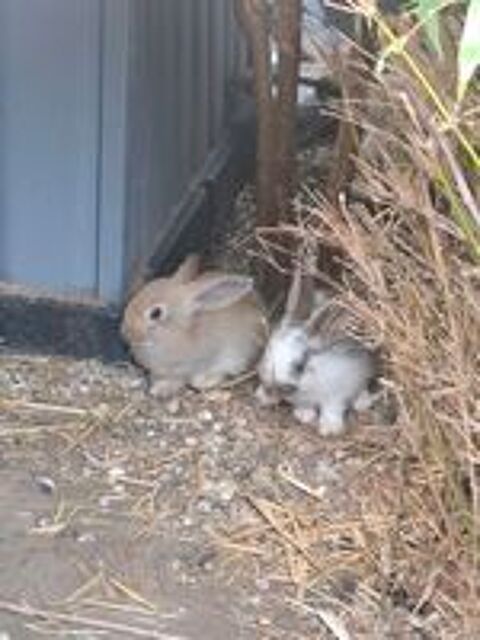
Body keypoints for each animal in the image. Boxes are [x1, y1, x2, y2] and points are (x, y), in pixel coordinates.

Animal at [256, 266, 378, 436]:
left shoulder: (336, 395)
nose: (272, 386)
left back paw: (362, 402)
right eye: (268, 350)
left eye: (300, 366)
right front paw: (304, 415)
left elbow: (332, 409)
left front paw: (330, 429)